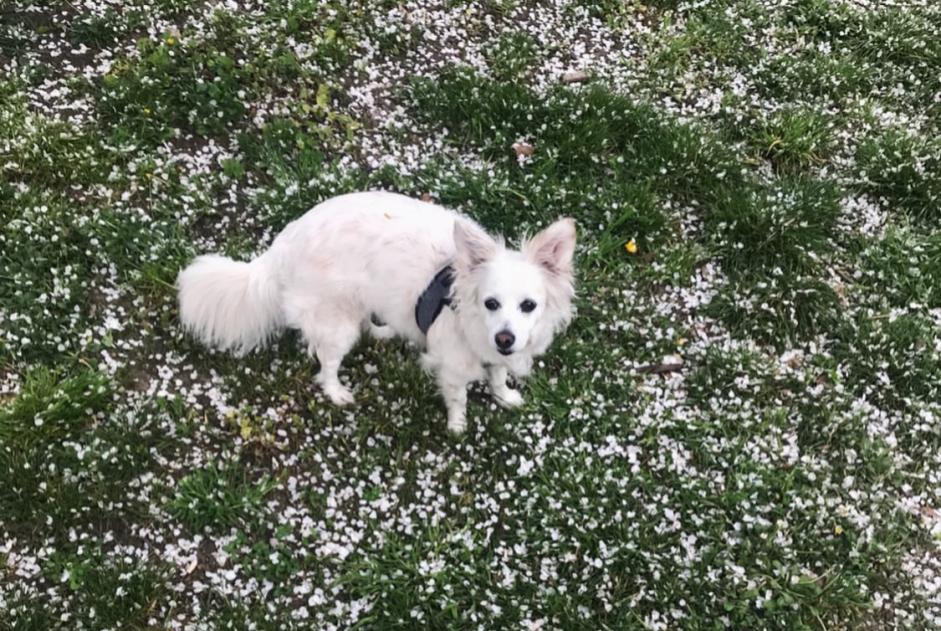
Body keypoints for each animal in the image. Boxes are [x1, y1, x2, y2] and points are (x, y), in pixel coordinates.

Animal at [176, 190, 572, 432]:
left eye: (528, 306)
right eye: (490, 303)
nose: (505, 338)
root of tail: (280, 246)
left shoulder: (497, 354)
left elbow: (498, 375)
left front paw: (505, 396)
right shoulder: (453, 365)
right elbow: (458, 397)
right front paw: (457, 426)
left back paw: (383, 331)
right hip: (337, 324)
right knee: (326, 363)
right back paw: (336, 391)